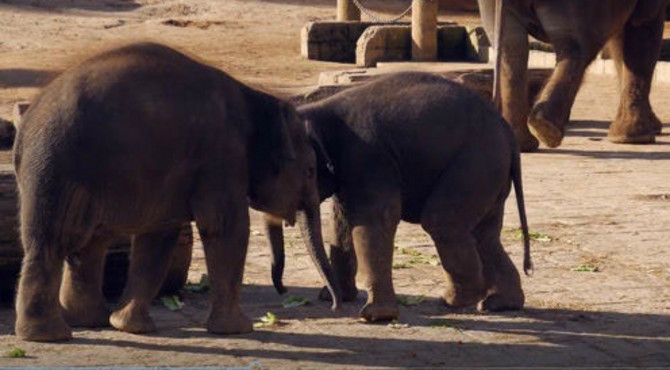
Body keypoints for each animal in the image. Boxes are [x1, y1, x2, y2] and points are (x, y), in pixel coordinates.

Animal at [11, 42, 342, 342]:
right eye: (310, 171)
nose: (334, 306)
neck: (256, 97)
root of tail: (25, 124)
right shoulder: (221, 158)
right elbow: (225, 228)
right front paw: (239, 330)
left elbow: (159, 236)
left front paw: (128, 326)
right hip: (57, 169)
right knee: (54, 242)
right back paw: (47, 335)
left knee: (90, 242)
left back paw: (88, 321)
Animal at [268, 72, 532, 320]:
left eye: (308, 171)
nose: (334, 306)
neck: (320, 111)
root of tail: (507, 131)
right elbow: (341, 224)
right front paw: (336, 297)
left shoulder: (368, 157)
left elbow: (373, 221)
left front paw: (375, 315)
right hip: (491, 173)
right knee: (484, 234)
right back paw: (499, 303)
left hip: (476, 163)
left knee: (443, 223)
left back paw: (455, 300)